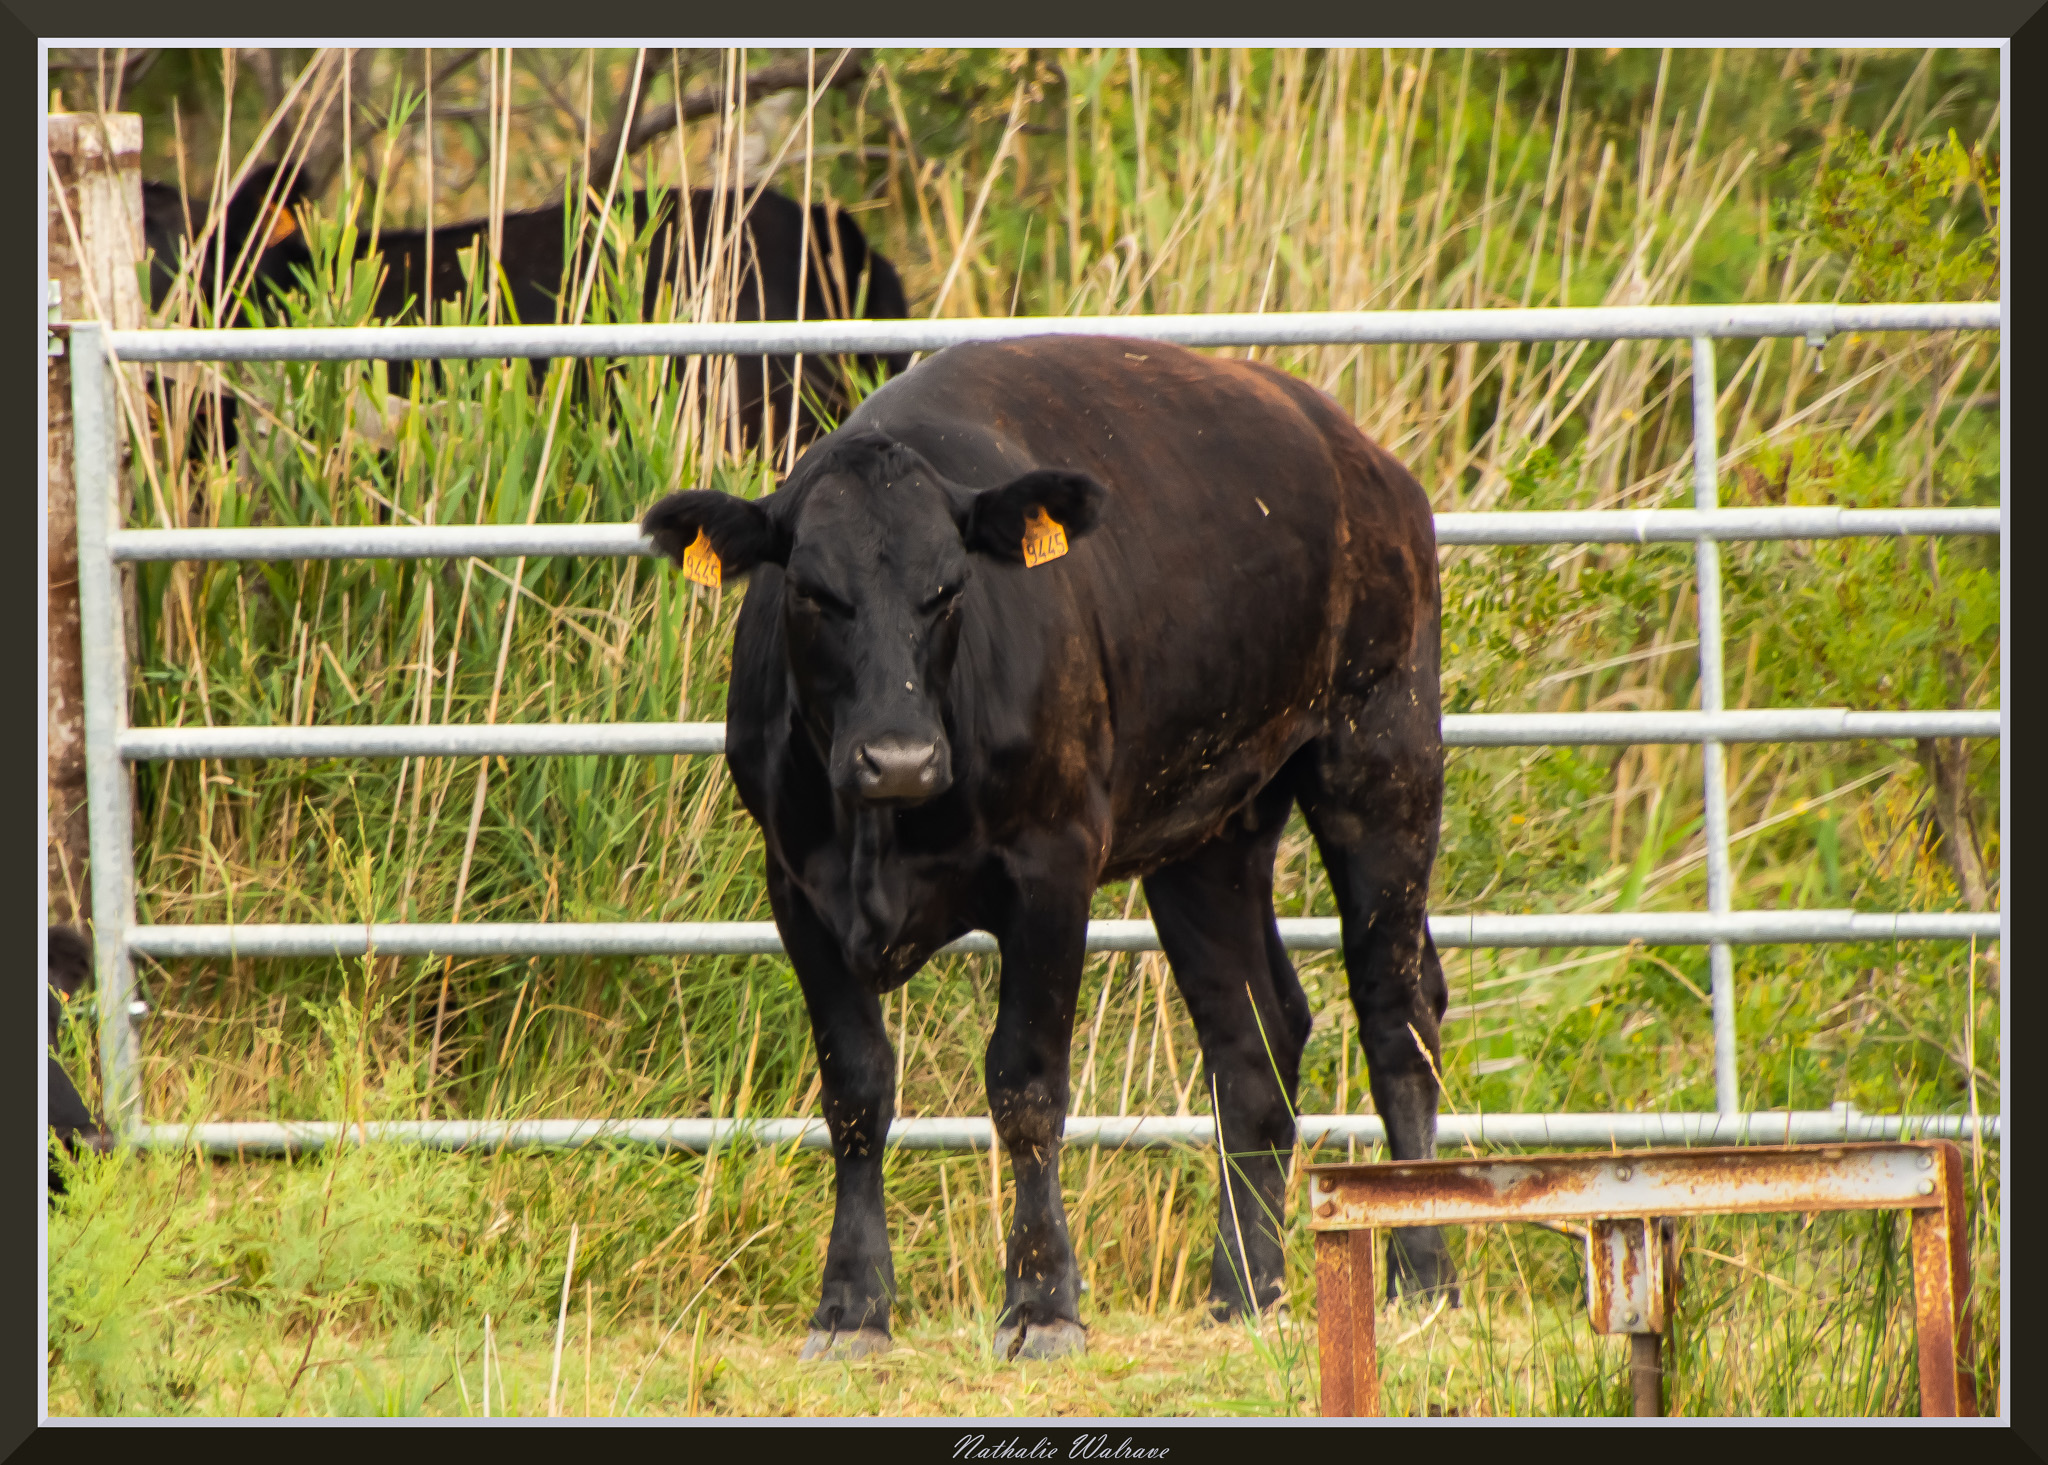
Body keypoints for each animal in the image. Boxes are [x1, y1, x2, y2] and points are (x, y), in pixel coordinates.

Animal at [638, 336, 1458, 1360]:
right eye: (811, 592)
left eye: (949, 589)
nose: (898, 757)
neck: (880, 835)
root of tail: (1363, 457)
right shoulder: (795, 886)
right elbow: (856, 1088)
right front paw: (852, 1306)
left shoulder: (1052, 871)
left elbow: (1024, 1083)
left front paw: (1041, 1302)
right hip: (1211, 829)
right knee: (1254, 1039)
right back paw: (1244, 1290)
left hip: (1381, 756)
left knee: (1397, 1015)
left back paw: (1421, 1276)